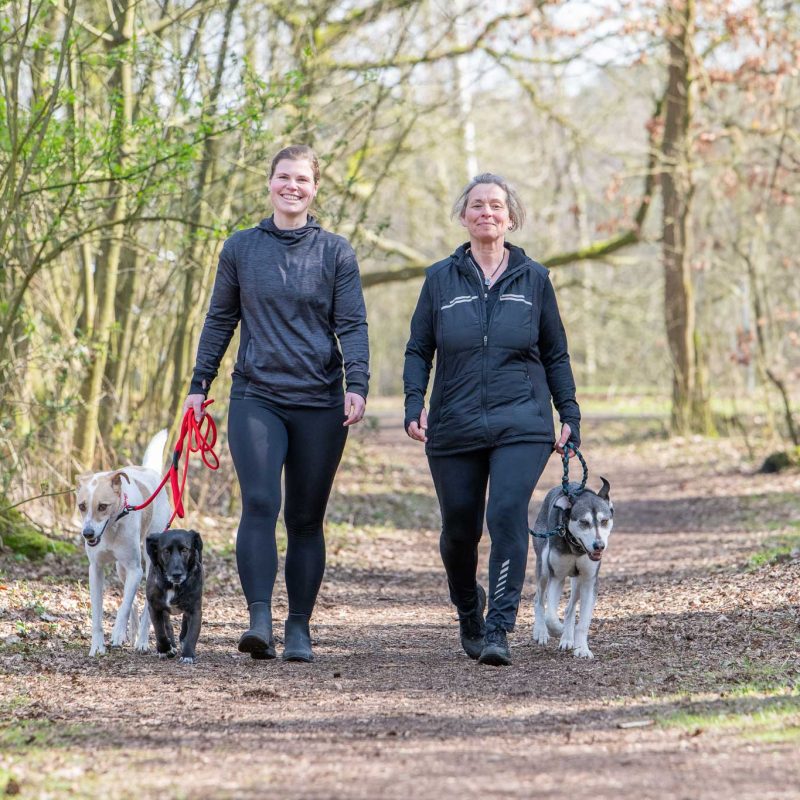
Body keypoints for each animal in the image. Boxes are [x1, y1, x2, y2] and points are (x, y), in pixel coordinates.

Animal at [76, 432, 170, 656]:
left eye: (103, 506)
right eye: (82, 506)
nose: (87, 533)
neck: (111, 528)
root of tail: (151, 471)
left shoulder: (136, 569)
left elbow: (124, 605)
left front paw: (118, 632)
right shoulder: (96, 569)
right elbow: (98, 612)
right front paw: (97, 646)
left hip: (150, 562)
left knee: (145, 605)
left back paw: (142, 640)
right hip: (120, 568)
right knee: (133, 596)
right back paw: (133, 633)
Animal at [146, 532, 205, 664]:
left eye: (184, 550)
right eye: (166, 551)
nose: (176, 574)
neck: (172, 585)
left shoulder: (195, 610)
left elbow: (192, 634)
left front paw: (188, 655)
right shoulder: (154, 608)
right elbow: (160, 632)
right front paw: (165, 649)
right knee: (167, 626)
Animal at [536, 478, 616, 660]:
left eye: (604, 521)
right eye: (584, 522)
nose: (599, 546)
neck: (576, 548)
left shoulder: (589, 582)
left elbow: (583, 622)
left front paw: (582, 649)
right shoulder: (556, 578)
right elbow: (550, 617)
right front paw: (558, 630)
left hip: (577, 581)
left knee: (569, 608)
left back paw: (567, 639)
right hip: (543, 568)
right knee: (538, 600)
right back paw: (541, 633)